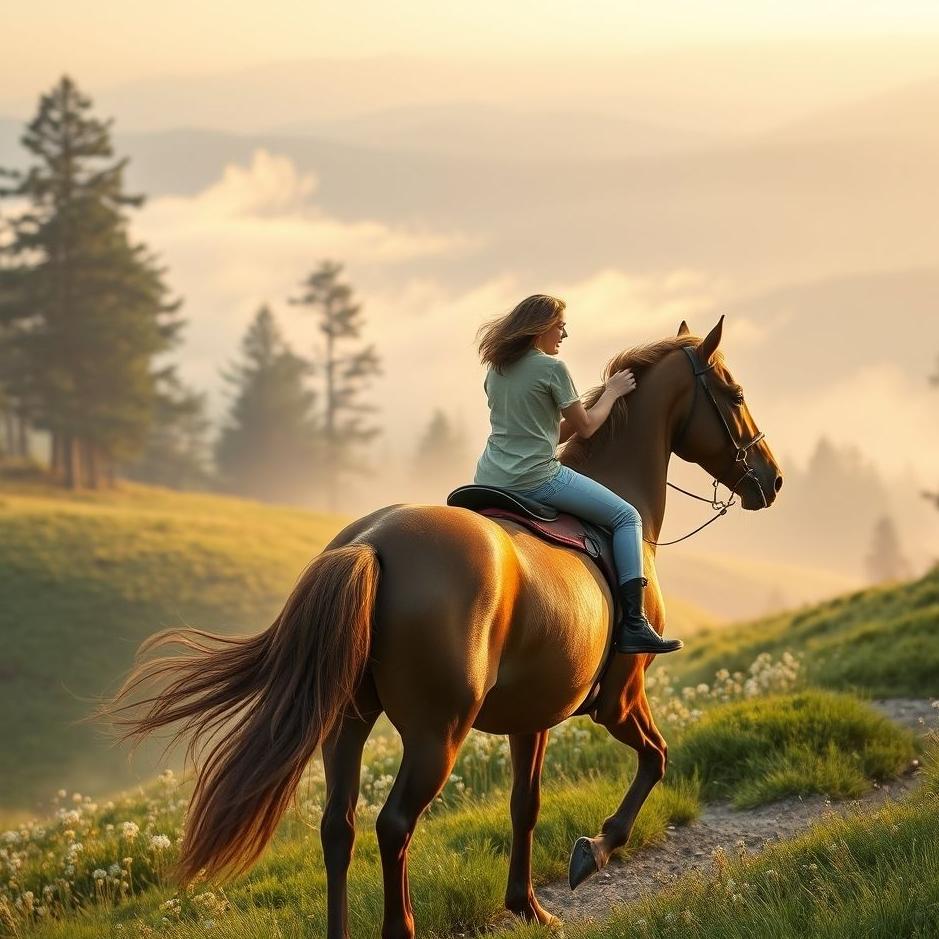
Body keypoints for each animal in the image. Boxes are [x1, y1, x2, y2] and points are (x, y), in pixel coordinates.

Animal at [107, 315, 782, 939]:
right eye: (735, 394)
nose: (771, 479)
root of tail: (373, 542)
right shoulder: (620, 699)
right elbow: (655, 761)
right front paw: (593, 851)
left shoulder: (532, 718)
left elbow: (525, 805)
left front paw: (527, 905)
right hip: (438, 735)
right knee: (393, 825)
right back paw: (400, 926)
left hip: (347, 724)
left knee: (339, 827)